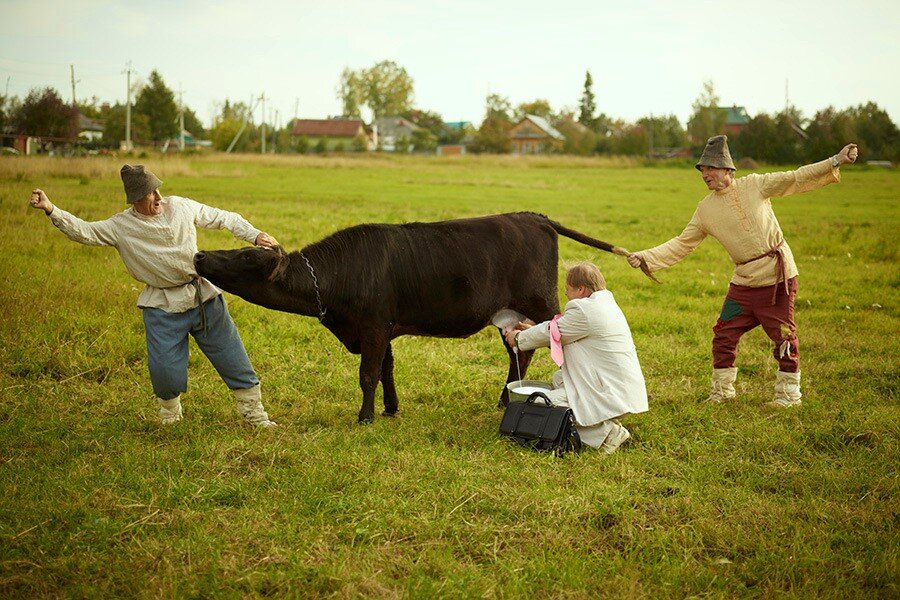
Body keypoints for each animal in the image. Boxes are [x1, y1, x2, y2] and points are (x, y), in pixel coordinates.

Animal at [194, 211, 636, 422]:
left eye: (245, 256)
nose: (199, 255)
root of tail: (533, 217)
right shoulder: (382, 328)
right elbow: (386, 370)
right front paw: (390, 409)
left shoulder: (373, 326)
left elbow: (368, 373)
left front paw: (365, 417)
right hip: (511, 314)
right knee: (521, 350)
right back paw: (505, 398)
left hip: (542, 302)